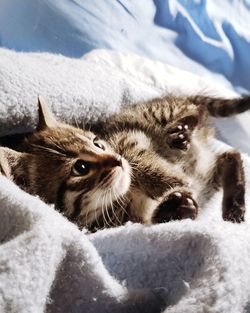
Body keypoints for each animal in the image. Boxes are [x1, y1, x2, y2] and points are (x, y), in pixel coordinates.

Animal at [0, 95, 248, 229]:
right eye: (81, 167)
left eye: (97, 144)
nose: (117, 160)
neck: (123, 197)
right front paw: (175, 207)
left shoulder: (127, 141)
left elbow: (141, 160)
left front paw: (173, 182)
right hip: (207, 173)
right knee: (230, 156)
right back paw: (234, 205)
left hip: (156, 114)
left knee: (197, 110)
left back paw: (182, 129)